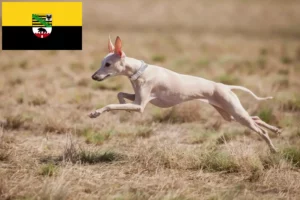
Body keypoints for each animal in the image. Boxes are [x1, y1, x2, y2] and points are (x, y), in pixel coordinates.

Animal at [89, 36, 282, 152]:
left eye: (107, 64)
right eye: (101, 63)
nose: (93, 76)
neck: (139, 71)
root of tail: (225, 86)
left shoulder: (141, 105)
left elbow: (111, 104)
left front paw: (96, 112)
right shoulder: (137, 99)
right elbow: (119, 95)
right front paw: (124, 108)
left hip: (235, 112)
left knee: (259, 130)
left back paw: (273, 148)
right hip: (229, 114)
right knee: (255, 117)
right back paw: (276, 130)